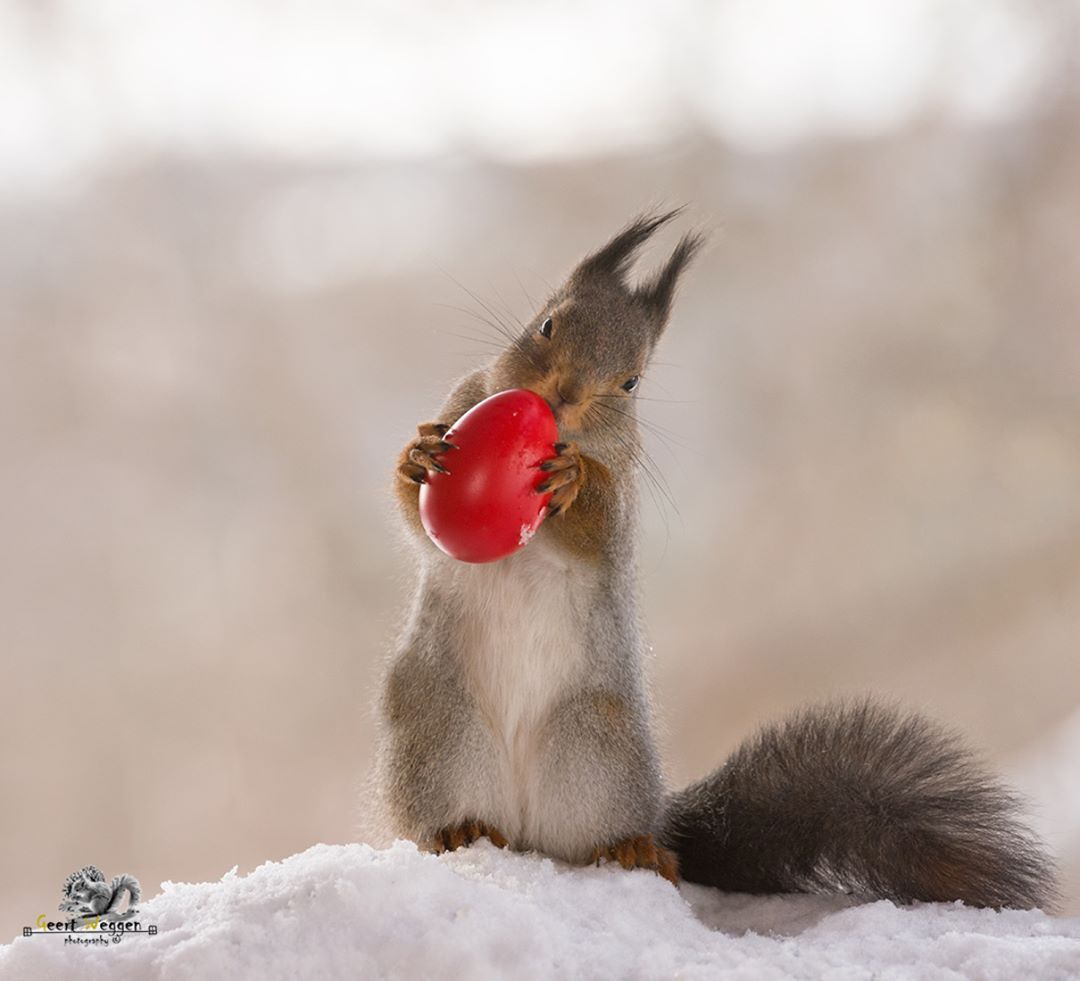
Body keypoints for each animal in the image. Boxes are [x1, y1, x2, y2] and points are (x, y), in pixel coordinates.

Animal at [378, 209, 1056, 910]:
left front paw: (572, 478)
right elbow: (418, 523)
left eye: (632, 381)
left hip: (596, 746)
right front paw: (418, 457)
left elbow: (600, 530)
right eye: (546, 323)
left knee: (619, 844)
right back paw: (457, 830)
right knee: (451, 812)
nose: (563, 394)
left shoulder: (623, 496)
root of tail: (524, 828)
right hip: (439, 729)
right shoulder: (465, 401)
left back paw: (634, 850)